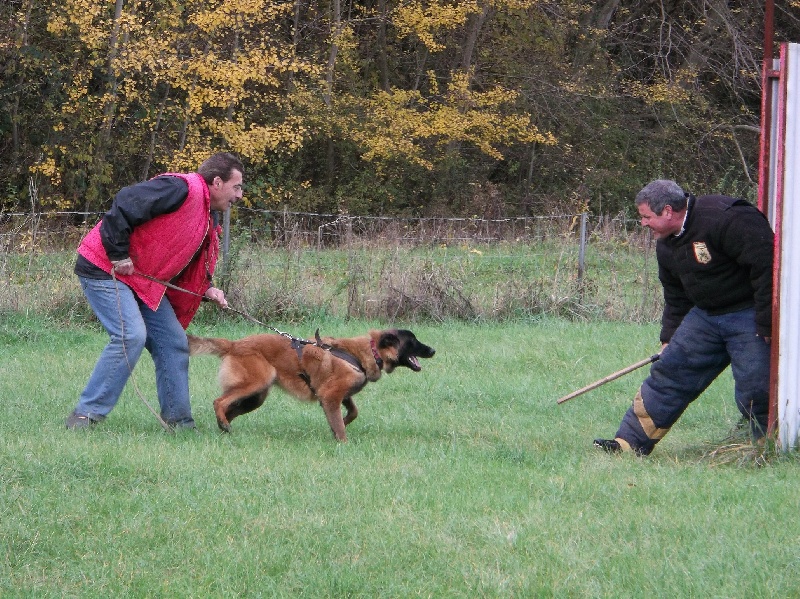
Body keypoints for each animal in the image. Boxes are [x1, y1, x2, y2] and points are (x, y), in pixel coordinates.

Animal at [187, 328, 434, 440]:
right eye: (413, 341)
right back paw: (223, 423)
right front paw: (342, 440)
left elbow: (352, 412)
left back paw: (224, 428)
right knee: (219, 401)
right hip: (254, 383)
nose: (433, 350)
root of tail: (234, 344)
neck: (369, 351)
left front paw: (339, 425)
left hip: (255, 398)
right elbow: (341, 424)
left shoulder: (340, 395)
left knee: (229, 408)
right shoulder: (331, 395)